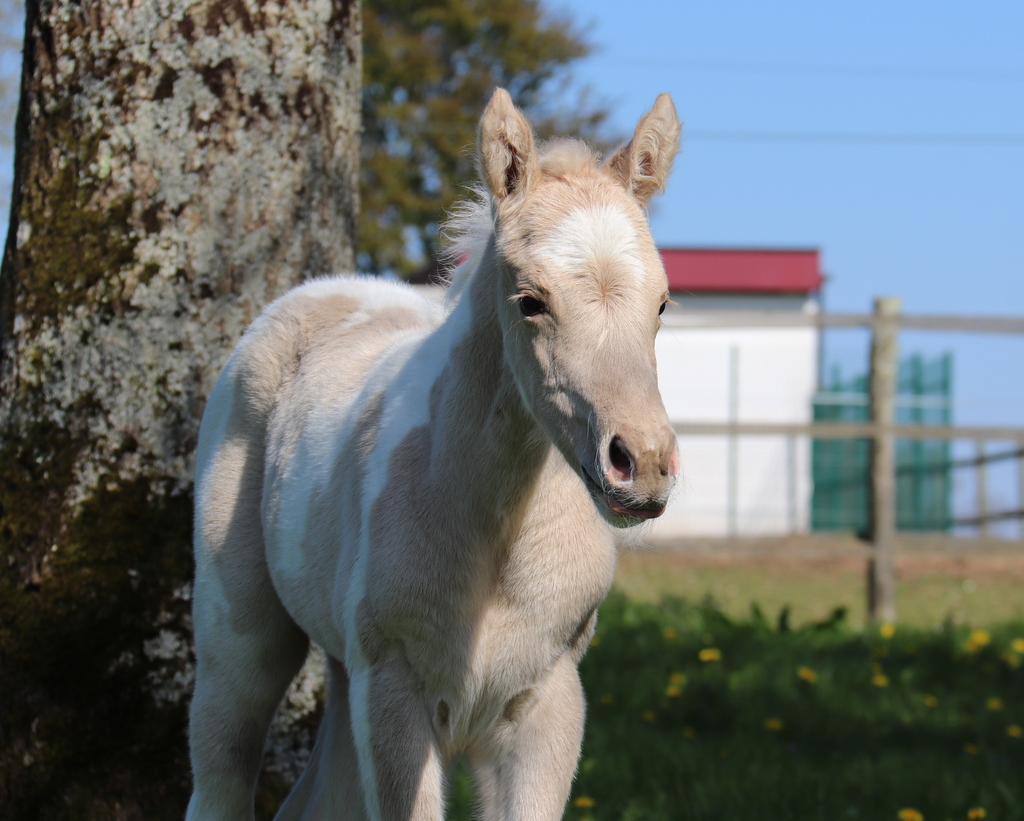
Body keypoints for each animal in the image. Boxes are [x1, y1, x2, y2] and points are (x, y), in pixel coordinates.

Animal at [186, 88, 681, 821]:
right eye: (530, 301)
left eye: (662, 303)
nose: (642, 464)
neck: (499, 530)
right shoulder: (396, 696)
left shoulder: (546, 704)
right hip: (240, 644)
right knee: (221, 773)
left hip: (345, 674)